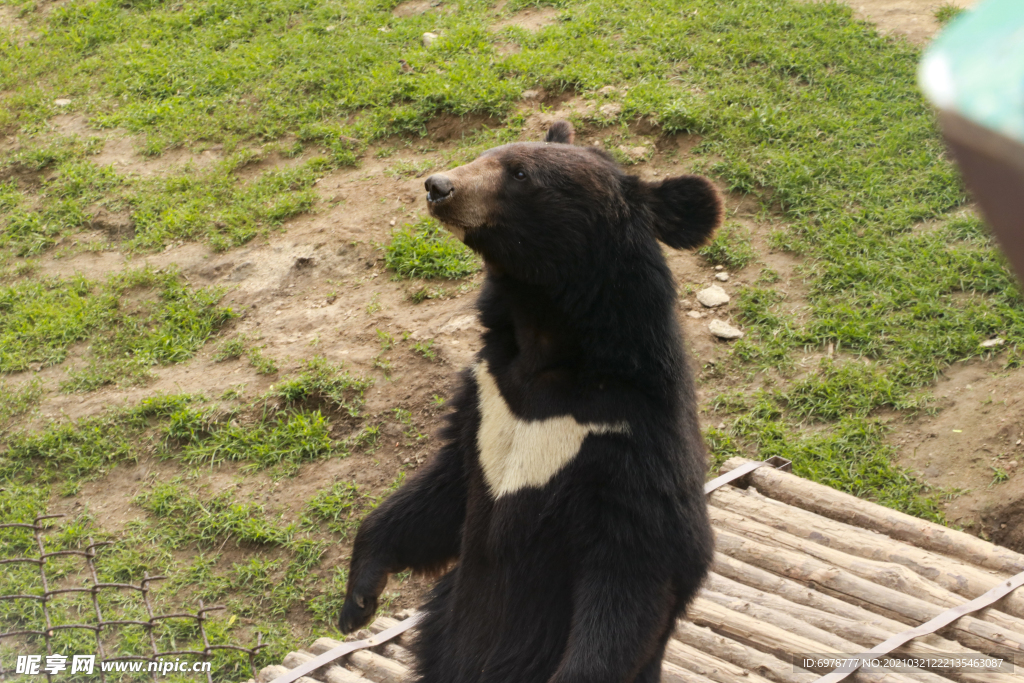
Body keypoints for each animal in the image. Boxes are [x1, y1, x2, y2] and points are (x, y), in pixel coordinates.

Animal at [336, 119, 721, 683]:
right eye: (487, 153)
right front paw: (359, 600)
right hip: (441, 631)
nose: (437, 186)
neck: (544, 334)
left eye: (519, 175)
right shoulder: (486, 394)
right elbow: (442, 488)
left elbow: (643, 562)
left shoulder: (631, 438)